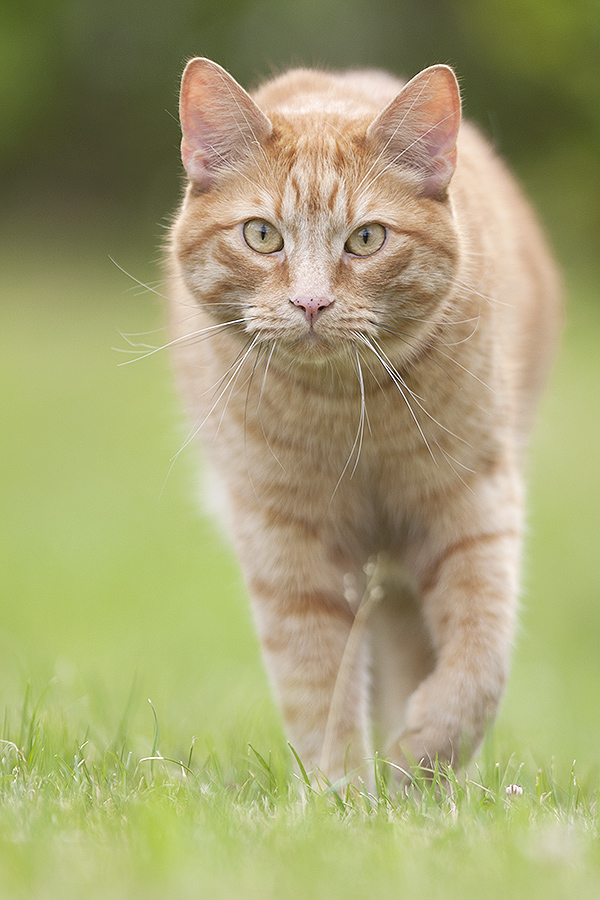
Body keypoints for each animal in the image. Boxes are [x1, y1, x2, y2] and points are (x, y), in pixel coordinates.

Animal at [166, 59, 560, 784]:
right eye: (262, 235)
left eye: (367, 239)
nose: (311, 302)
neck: (353, 418)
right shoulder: (284, 539)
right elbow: (318, 680)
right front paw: (342, 793)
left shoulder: (474, 508)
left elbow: (480, 660)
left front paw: (423, 757)